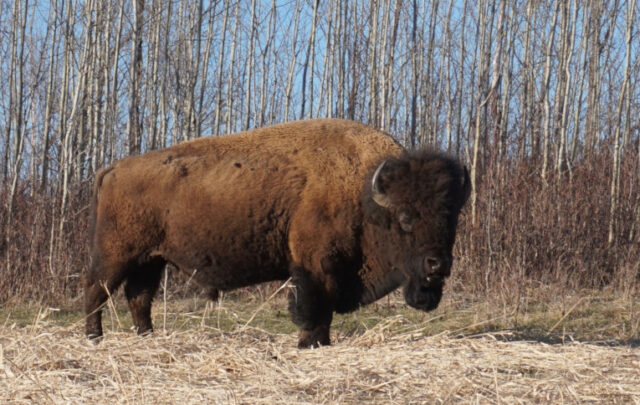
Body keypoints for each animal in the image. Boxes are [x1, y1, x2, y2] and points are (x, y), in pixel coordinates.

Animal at [85, 117, 470, 348]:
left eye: (450, 217)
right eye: (405, 217)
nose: (437, 264)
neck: (364, 194)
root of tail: (114, 168)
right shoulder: (316, 266)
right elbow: (315, 307)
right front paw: (311, 343)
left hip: (151, 259)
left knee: (139, 297)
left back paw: (146, 336)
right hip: (117, 254)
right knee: (97, 290)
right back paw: (94, 337)